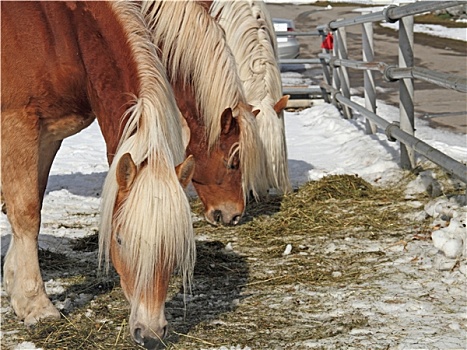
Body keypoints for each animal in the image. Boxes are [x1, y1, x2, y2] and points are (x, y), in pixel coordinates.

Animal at [1, 2, 196, 348]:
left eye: (174, 244)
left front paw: (16, 289)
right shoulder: (17, 124)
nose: (150, 334)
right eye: (119, 239)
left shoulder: (49, 134)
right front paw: (37, 306)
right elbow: (26, 214)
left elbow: (30, 203)